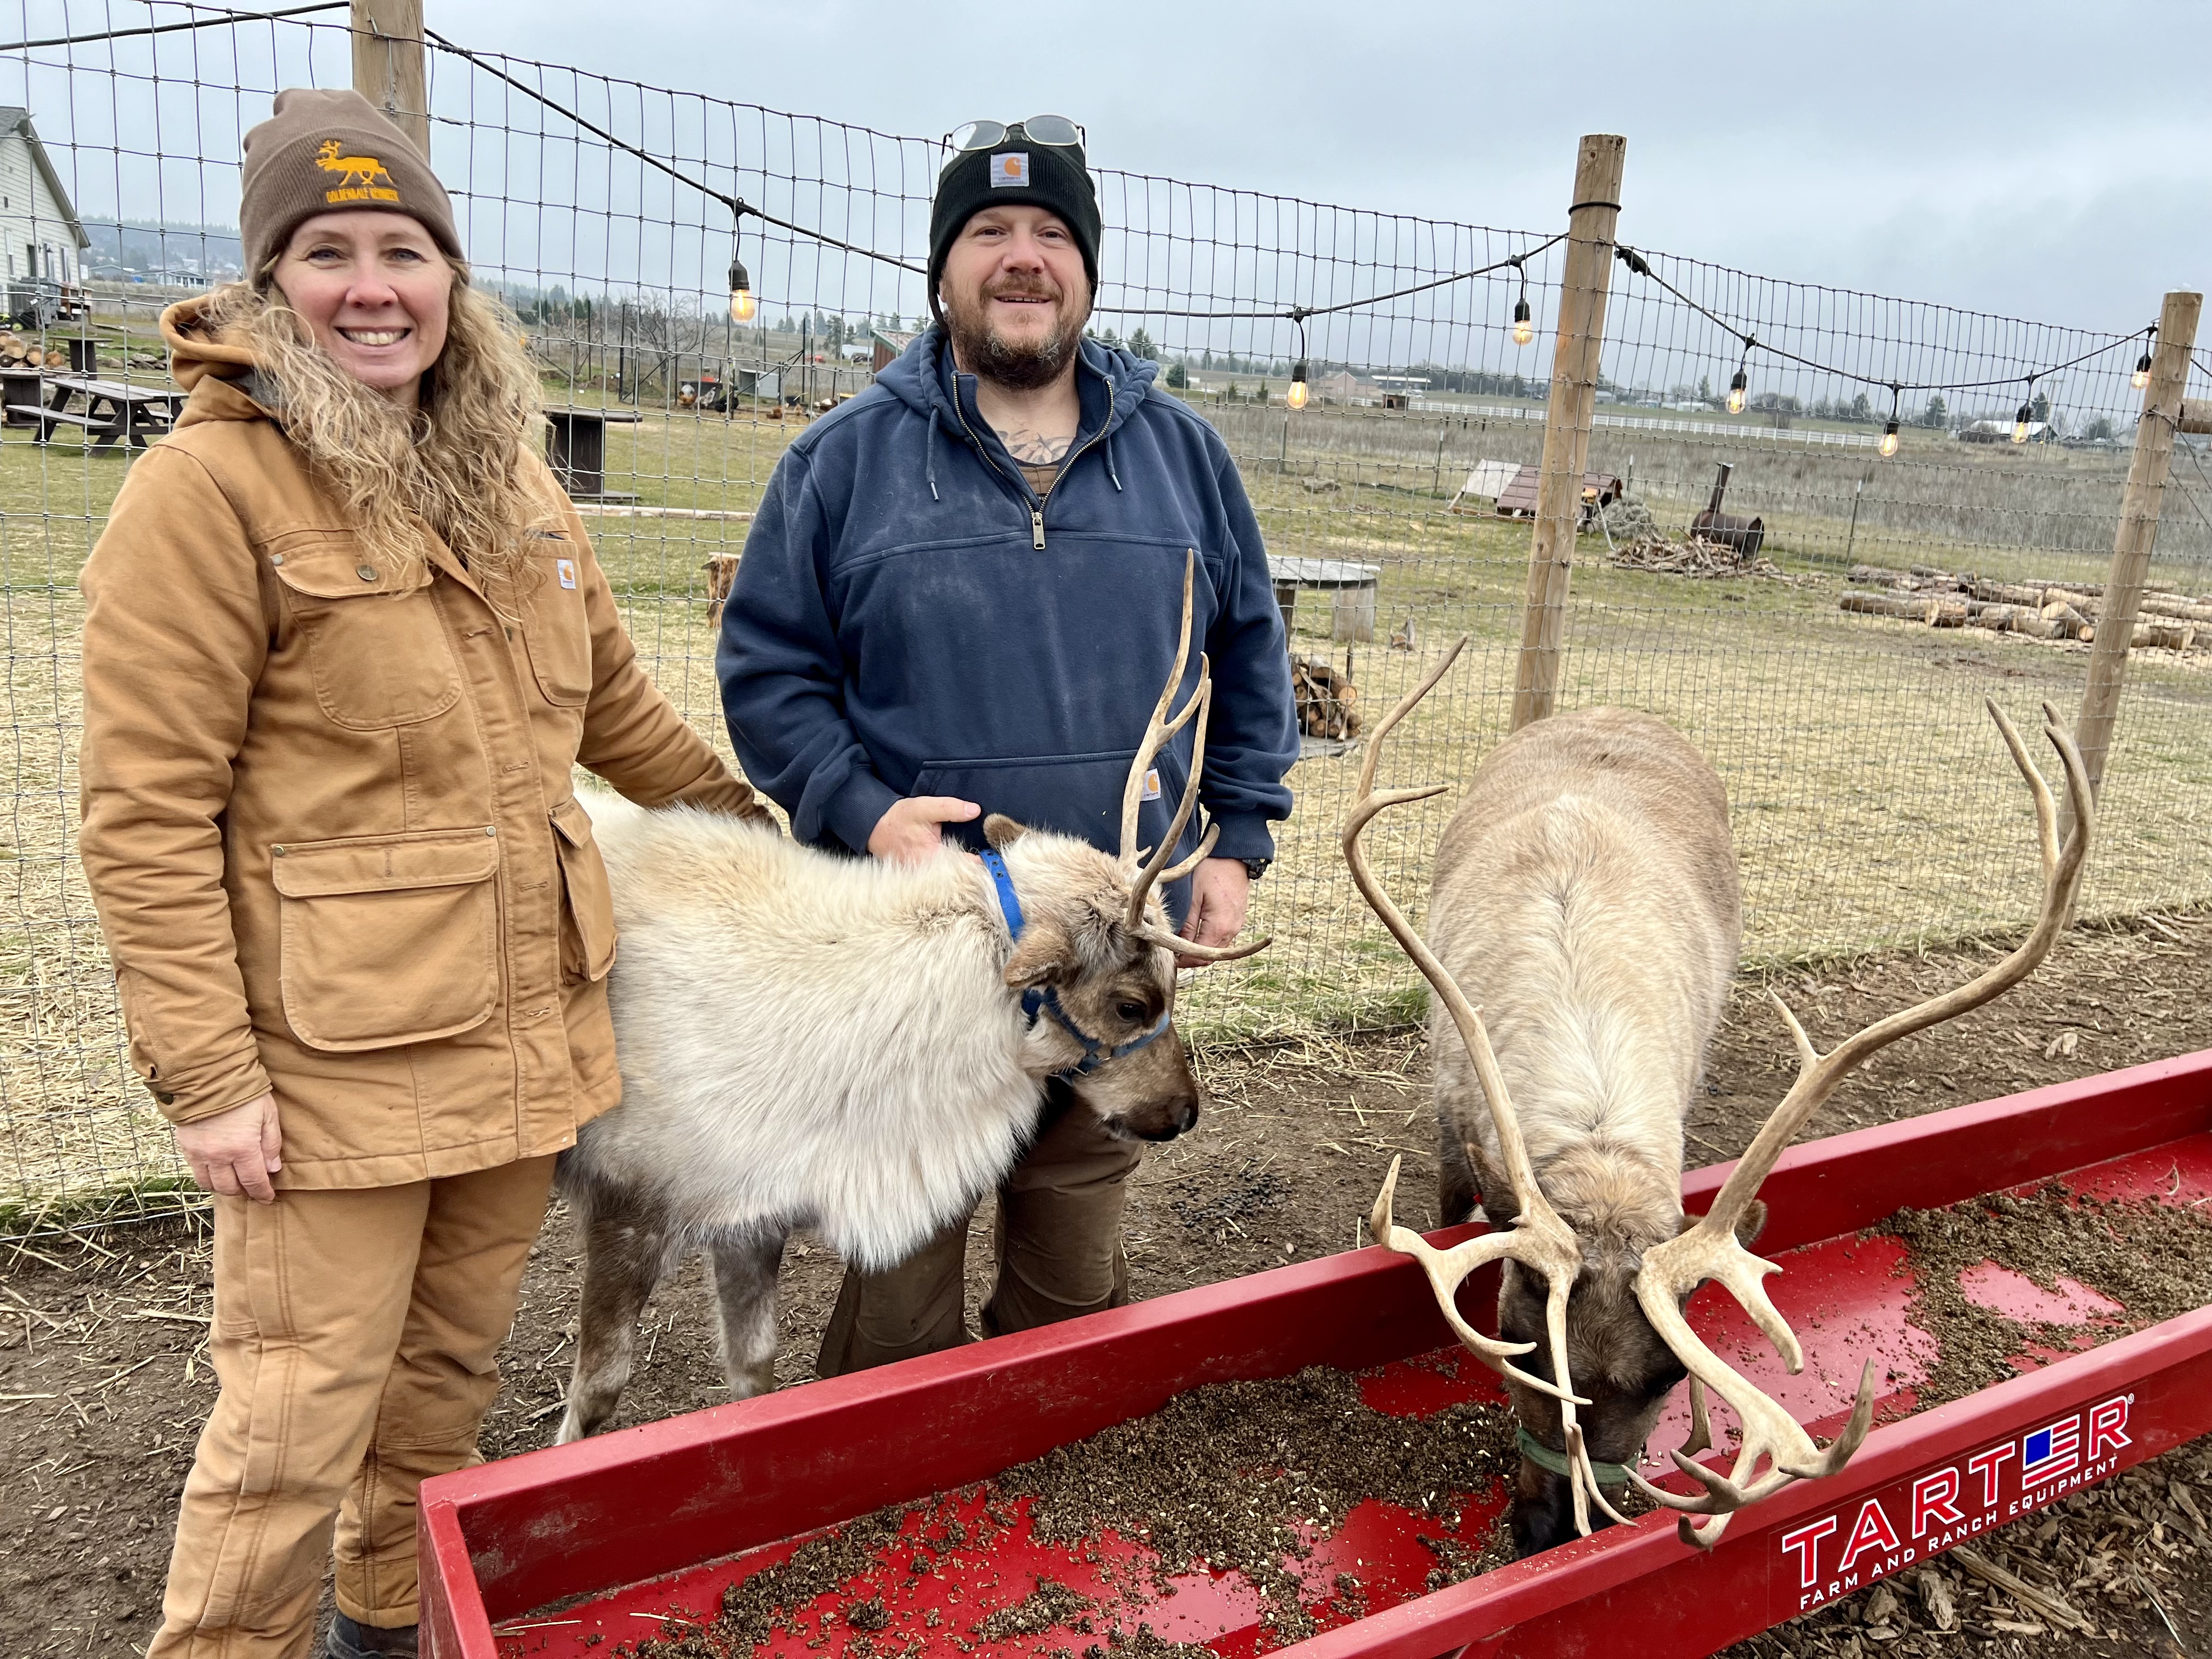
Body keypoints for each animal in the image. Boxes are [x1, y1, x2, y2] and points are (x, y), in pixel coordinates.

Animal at [552, 554, 1265, 1443]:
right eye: (1133, 1004)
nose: (1183, 1111)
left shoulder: (752, 1211)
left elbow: (754, 1370)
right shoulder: (628, 1201)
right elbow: (597, 1392)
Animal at [1349, 638, 2092, 1555]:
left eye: (1671, 1374)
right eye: (1515, 1341)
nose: (1550, 1530)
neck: (1599, 1143)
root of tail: (1617, 705)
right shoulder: (1454, 1110)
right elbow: (1453, 1205)